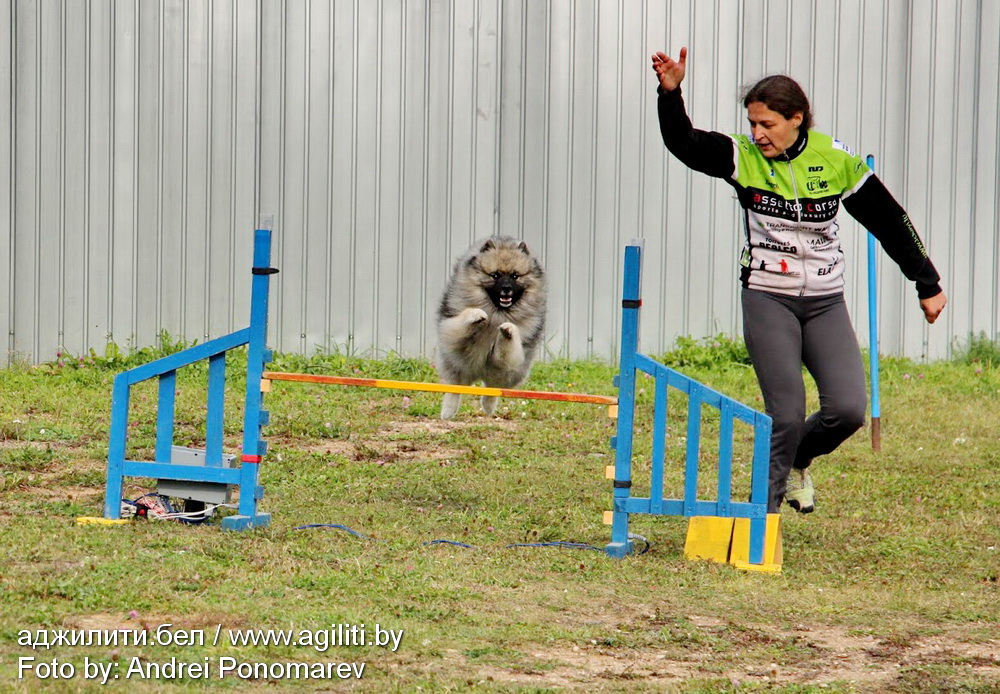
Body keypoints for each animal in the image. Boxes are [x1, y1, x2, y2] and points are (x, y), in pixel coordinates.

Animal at [435, 236, 547, 419]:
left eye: (515, 276)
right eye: (495, 275)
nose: (506, 289)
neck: (498, 312)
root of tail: (478, 375)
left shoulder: (505, 359)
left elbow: (506, 346)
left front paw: (508, 330)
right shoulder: (453, 333)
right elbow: (462, 322)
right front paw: (476, 315)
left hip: (512, 374)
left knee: (492, 389)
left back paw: (488, 406)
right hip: (453, 365)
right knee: (454, 388)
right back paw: (448, 411)